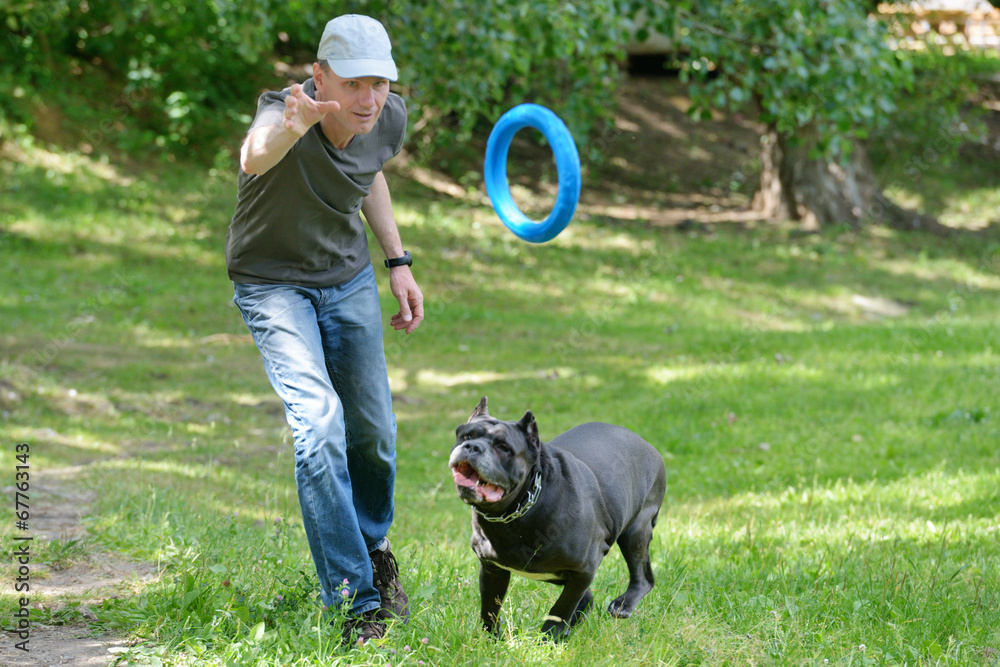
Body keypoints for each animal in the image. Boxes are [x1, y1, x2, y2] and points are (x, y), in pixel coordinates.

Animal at [450, 400, 668, 640]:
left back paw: (623, 605)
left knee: (642, 576)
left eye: (504, 447)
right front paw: (491, 640)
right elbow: (490, 606)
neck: (518, 511)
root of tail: (646, 444)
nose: (472, 447)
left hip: (635, 532)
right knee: (587, 599)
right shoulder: (492, 568)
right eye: (465, 436)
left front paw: (548, 638)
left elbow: (561, 608)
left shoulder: (584, 570)